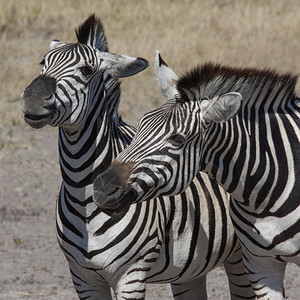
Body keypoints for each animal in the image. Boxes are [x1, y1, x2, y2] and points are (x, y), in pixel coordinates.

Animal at [21, 17, 255, 300]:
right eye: (42, 63)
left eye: (86, 70)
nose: (33, 99)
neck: (82, 192)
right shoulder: (82, 276)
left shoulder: (131, 273)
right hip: (189, 269)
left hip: (242, 256)